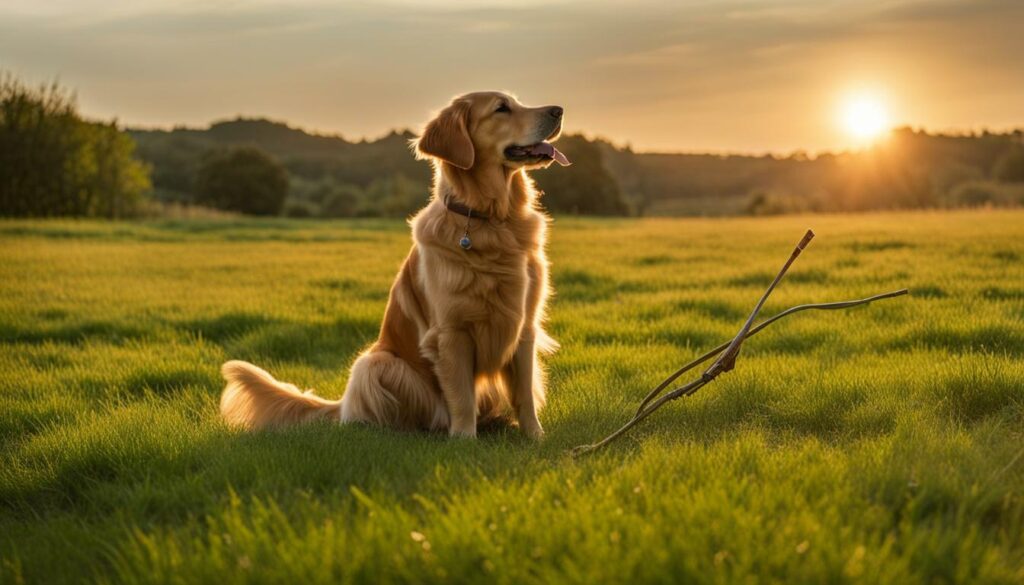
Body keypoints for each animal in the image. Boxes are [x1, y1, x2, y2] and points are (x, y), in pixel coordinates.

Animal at [219, 91, 569, 438]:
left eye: (517, 103)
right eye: (501, 108)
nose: (559, 110)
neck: (493, 221)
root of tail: (343, 405)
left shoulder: (524, 327)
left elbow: (524, 395)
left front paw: (535, 438)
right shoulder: (451, 332)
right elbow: (462, 398)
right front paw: (464, 441)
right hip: (376, 364)